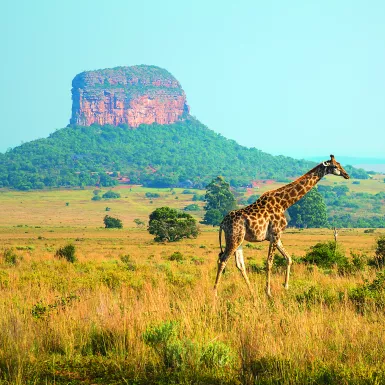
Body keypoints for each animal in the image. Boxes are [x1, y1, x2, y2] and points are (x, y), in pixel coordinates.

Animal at [214, 154, 350, 296]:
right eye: (335, 166)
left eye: (339, 164)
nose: (347, 175)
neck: (284, 203)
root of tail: (222, 223)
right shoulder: (275, 233)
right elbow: (269, 262)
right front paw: (268, 292)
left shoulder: (276, 236)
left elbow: (288, 258)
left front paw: (286, 286)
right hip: (234, 238)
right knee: (222, 260)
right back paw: (215, 293)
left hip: (239, 240)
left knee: (239, 264)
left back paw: (252, 292)